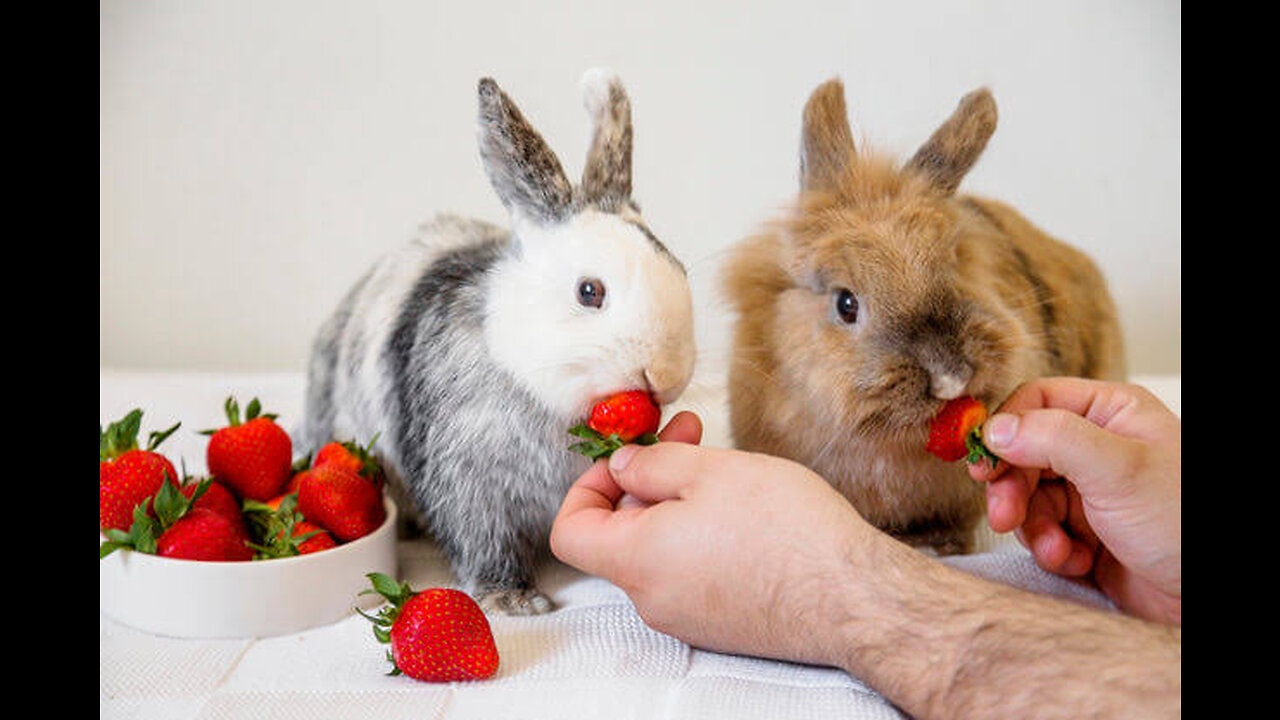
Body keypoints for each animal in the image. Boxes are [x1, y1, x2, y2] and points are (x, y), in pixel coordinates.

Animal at [300, 71, 696, 609]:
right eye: (589, 292)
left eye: (680, 269)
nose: (664, 375)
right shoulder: (471, 486)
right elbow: (483, 541)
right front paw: (512, 600)